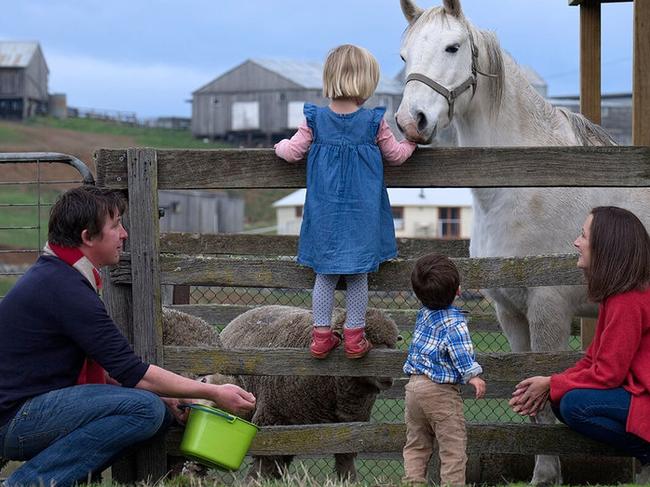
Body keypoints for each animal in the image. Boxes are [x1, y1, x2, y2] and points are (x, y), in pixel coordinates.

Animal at [216, 306, 400, 482]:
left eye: (392, 345)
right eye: (366, 340)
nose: (387, 377)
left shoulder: (352, 427)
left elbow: (345, 461)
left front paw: (350, 481)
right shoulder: (270, 419)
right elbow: (264, 458)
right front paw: (253, 481)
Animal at [394, 1, 648, 486]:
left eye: (452, 47)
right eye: (403, 55)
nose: (409, 121)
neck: (522, 186)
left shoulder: (548, 308)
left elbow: (544, 391)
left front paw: (547, 474)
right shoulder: (511, 313)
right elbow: (527, 396)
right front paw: (543, 471)